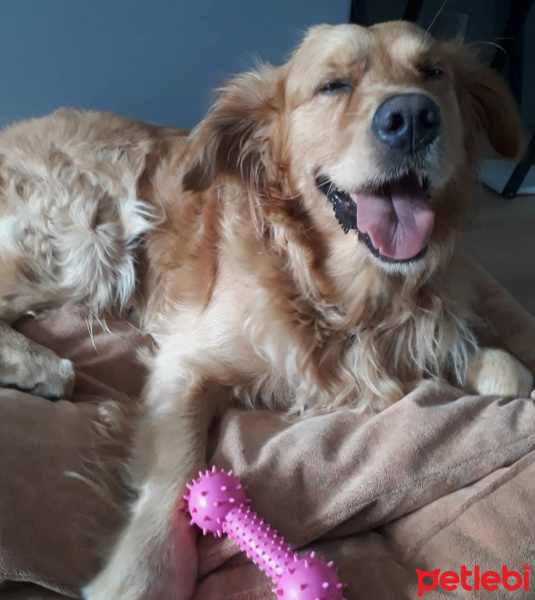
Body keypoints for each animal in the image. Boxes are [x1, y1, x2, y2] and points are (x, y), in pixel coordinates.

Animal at [0, 19, 532, 600]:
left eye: (433, 72)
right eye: (332, 86)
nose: (413, 117)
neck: (345, 297)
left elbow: (505, 368)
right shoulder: (187, 362)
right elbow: (176, 471)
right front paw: (143, 575)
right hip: (91, 238)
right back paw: (42, 367)